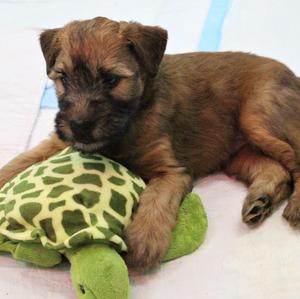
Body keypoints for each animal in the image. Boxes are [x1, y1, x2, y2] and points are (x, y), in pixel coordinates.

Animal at [0, 15, 300, 270]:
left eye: (111, 79)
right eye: (63, 78)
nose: (79, 126)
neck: (130, 119)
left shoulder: (172, 172)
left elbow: (155, 200)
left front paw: (143, 240)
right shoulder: (58, 140)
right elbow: (23, 159)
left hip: (257, 117)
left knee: (294, 162)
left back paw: (293, 206)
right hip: (237, 153)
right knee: (276, 170)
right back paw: (260, 200)